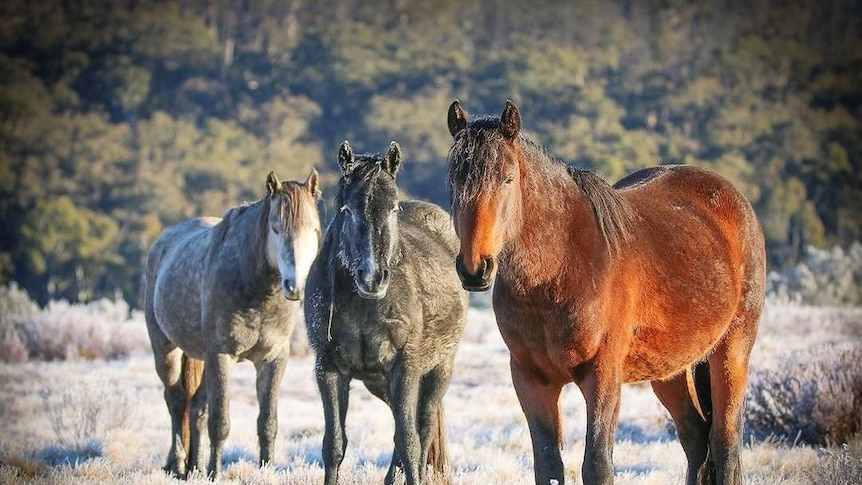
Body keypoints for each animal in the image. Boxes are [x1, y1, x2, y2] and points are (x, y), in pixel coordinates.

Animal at [145, 168, 324, 478]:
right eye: (276, 229)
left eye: (312, 230)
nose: (295, 286)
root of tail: (162, 243)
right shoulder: (222, 356)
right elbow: (220, 422)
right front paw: (215, 473)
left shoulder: (274, 359)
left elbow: (267, 422)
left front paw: (266, 471)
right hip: (165, 350)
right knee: (176, 401)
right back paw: (178, 464)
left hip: (199, 357)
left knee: (196, 407)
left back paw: (194, 467)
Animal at [306, 141, 470, 484]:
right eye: (347, 209)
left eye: (392, 209)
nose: (372, 278)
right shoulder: (328, 368)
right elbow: (334, 444)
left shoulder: (404, 366)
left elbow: (409, 440)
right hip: (379, 383)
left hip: (438, 370)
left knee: (422, 427)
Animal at [448, 99, 768, 484]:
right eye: (453, 180)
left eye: (508, 179)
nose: (474, 268)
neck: (561, 268)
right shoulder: (531, 380)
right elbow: (548, 465)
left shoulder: (602, 378)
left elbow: (597, 465)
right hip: (670, 369)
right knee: (695, 437)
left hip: (733, 350)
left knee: (724, 441)